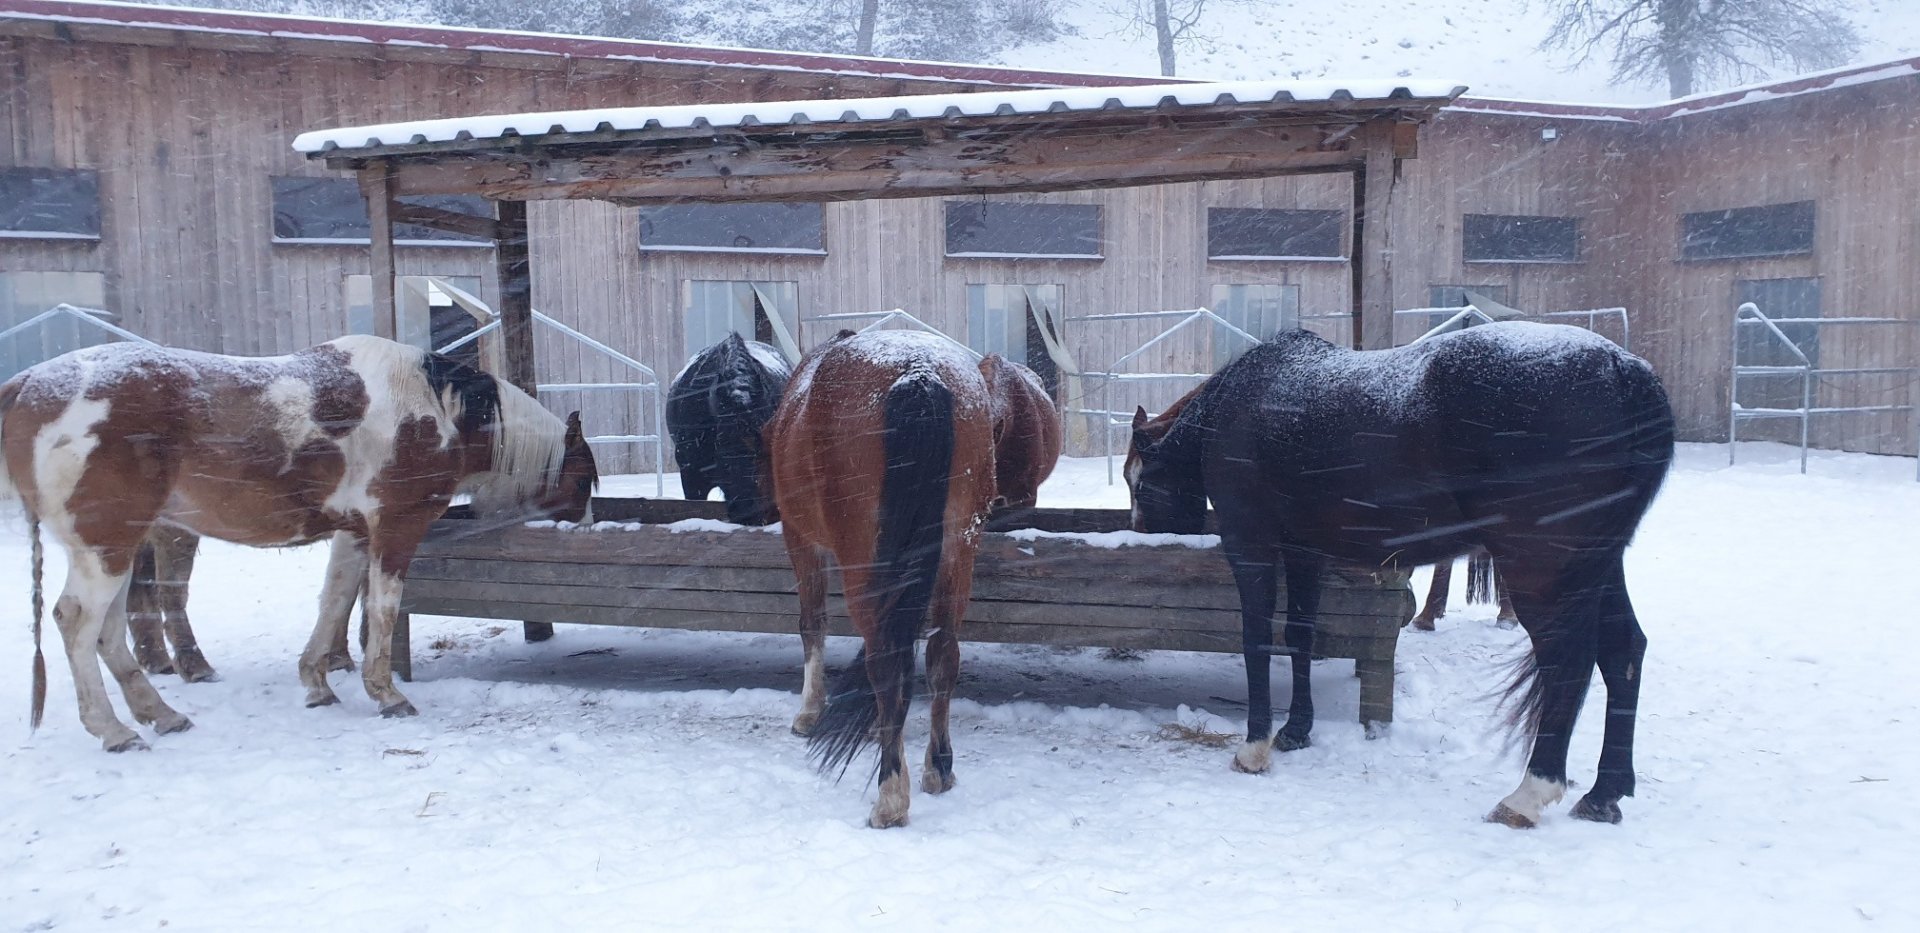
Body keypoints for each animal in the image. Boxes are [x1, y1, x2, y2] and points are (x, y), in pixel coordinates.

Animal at [0, 335, 595, 752]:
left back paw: (161, 715)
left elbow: (335, 603)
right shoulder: (395, 529)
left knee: (110, 630)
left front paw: (318, 683)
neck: (436, 409)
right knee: (78, 622)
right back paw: (114, 730)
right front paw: (387, 694)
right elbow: (382, 608)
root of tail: (25, 383)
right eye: (587, 476)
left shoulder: (354, 533)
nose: (585, 526)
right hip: (107, 547)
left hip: (116, 549)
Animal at [771, 330, 998, 829]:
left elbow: (811, 623)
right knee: (942, 654)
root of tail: (919, 372)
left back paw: (891, 796)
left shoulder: (799, 539)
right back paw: (938, 766)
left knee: (885, 661)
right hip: (958, 551)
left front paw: (810, 711)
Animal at [1121, 324, 1674, 825]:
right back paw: (1604, 794)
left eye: (1138, 483)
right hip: (1595, 564)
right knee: (1623, 651)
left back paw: (1528, 795)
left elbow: (1257, 639)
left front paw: (1254, 749)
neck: (1243, 403)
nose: (1142, 533)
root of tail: (1624, 370)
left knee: (1567, 661)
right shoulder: (1304, 553)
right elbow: (1300, 635)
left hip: (1542, 570)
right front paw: (1296, 731)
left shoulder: (1251, 546)